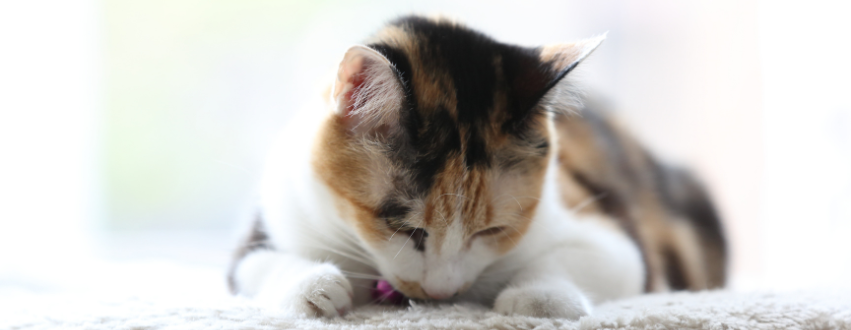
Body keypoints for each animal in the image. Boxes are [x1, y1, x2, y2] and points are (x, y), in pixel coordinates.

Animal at [226, 15, 724, 320]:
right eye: (405, 229)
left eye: (493, 231)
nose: (441, 293)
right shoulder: (276, 214)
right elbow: (253, 264)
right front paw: (314, 287)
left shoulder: (613, 240)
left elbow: (593, 260)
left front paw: (537, 297)